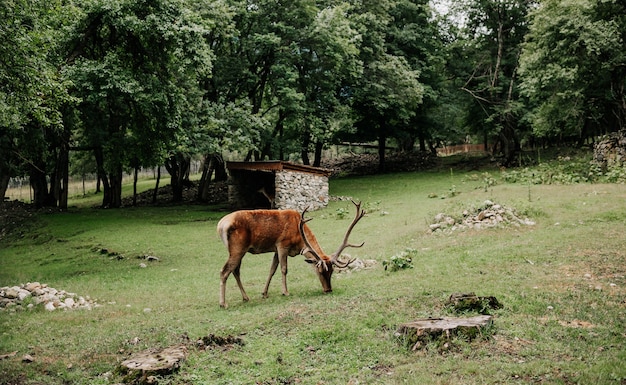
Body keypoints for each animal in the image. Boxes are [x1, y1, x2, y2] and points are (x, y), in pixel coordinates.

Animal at [214, 200, 364, 308]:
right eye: (320, 271)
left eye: (332, 271)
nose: (328, 290)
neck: (299, 238)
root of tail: (220, 225)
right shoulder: (282, 245)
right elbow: (283, 269)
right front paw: (285, 292)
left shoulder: (275, 249)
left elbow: (272, 269)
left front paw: (264, 293)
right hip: (238, 248)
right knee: (224, 271)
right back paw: (223, 303)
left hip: (239, 250)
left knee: (235, 271)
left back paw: (245, 297)